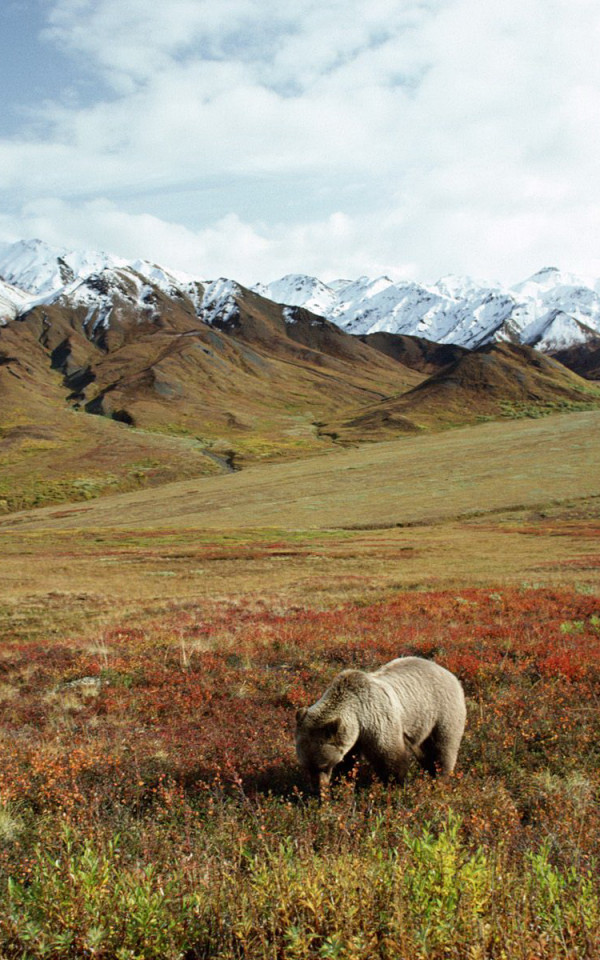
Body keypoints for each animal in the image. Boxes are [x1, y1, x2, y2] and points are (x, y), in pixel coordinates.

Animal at [298, 652, 466, 796]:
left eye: (323, 765)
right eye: (306, 766)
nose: (317, 789)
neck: (358, 718)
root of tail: (449, 673)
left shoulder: (377, 719)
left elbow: (390, 758)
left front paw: (396, 786)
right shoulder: (353, 738)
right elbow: (348, 762)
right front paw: (341, 784)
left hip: (443, 712)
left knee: (443, 748)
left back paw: (439, 779)